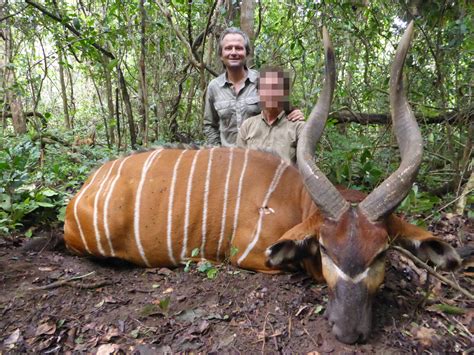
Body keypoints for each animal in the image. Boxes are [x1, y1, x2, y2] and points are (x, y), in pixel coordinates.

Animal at [64, 22, 460, 344]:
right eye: (326, 249)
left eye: (380, 253)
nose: (349, 332)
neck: (296, 198)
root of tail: (82, 191)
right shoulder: (250, 254)